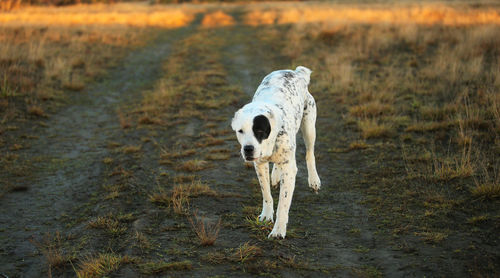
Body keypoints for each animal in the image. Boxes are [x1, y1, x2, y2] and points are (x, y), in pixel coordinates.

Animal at [230, 65, 320, 239]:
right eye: (240, 131)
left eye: (259, 131)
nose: (248, 149)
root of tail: (296, 72)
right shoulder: (259, 166)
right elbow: (266, 194)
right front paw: (266, 215)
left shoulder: (290, 170)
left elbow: (283, 204)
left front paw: (278, 230)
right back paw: (276, 176)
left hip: (309, 128)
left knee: (309, 154)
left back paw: (314, 180)